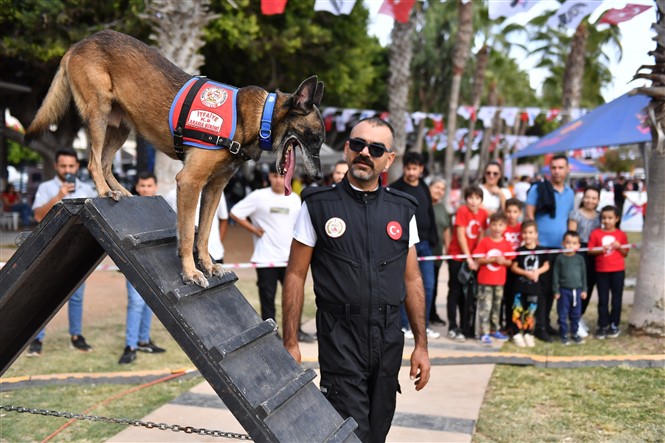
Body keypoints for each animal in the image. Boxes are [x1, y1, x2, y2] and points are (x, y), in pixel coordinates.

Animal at [25, 30, 324, 288]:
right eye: (314, 138)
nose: (319, 177)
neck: (259, 116)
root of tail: (81, 42)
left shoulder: (214, 188)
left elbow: (204, 233)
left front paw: (207, 265)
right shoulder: (190, 181)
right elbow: (189, 233)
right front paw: (191, 272)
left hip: (121, 127)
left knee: (106, 162)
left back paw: (121, 190)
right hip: (99, 111)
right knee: (93, 161)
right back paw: (104, 191)